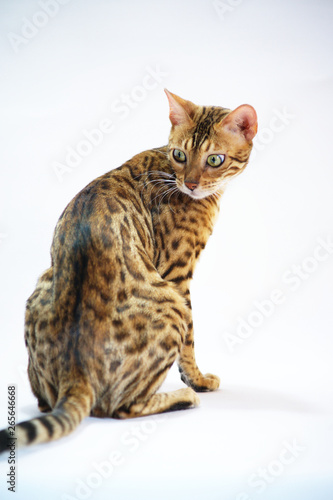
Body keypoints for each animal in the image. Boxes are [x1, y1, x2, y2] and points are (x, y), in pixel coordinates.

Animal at [0, 90, 256, 454]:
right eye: (180, 154)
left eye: (215, 159)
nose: (191, 184)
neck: (168, 169)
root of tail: (76, 373)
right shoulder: (177, 275)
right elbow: (191, 343)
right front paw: (198, 380)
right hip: (171, 304)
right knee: (120, 408)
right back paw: (183, 396)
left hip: (40, 288)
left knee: (45, 401)